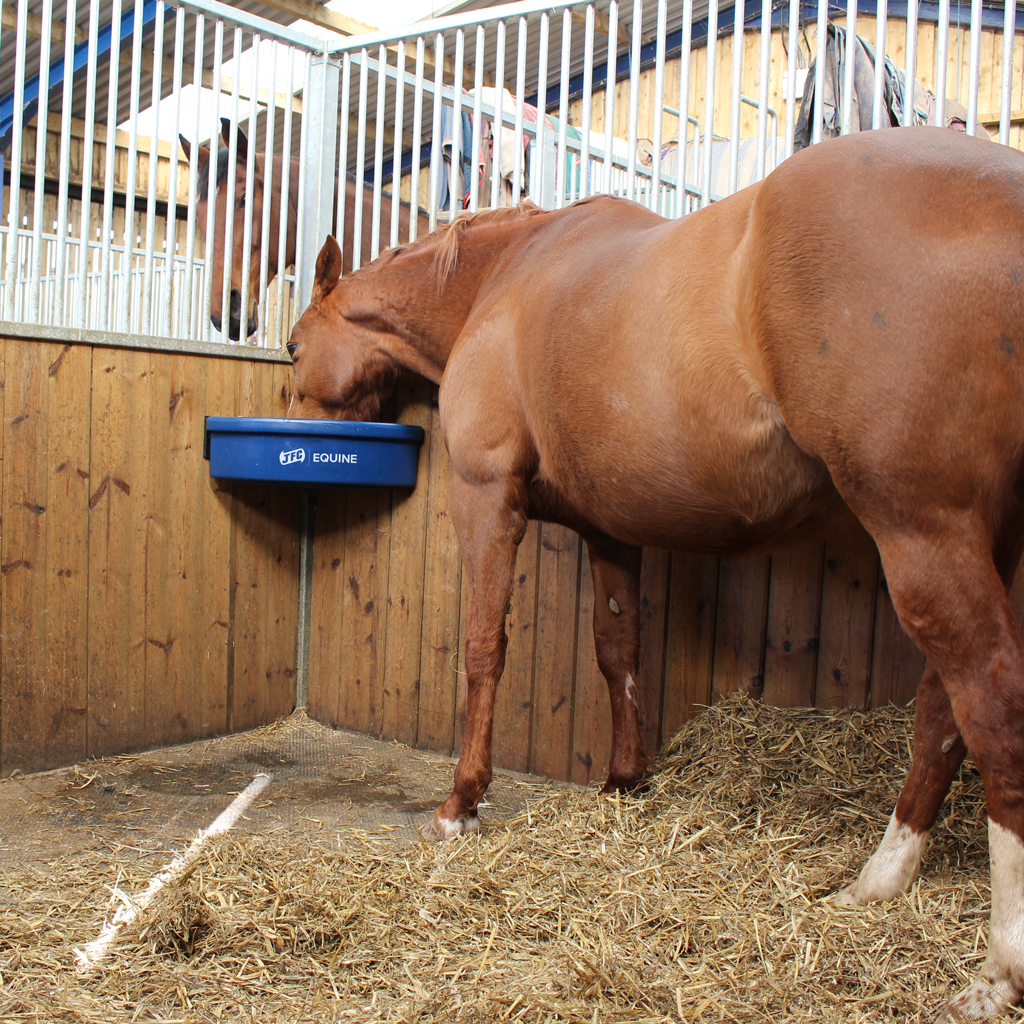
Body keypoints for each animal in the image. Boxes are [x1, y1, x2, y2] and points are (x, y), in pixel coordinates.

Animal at [286, 130, 1024, 1024]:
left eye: (293, 347)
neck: (505, 281)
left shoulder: (485, 495)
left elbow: (483, 649)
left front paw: (462, 802)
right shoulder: (611, 529)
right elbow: (619, 652)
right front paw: (623, 781)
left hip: (925, 533)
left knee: (993, 705)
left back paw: (999, 968)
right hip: (990, 542)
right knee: (942, 712)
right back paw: (879, 880)